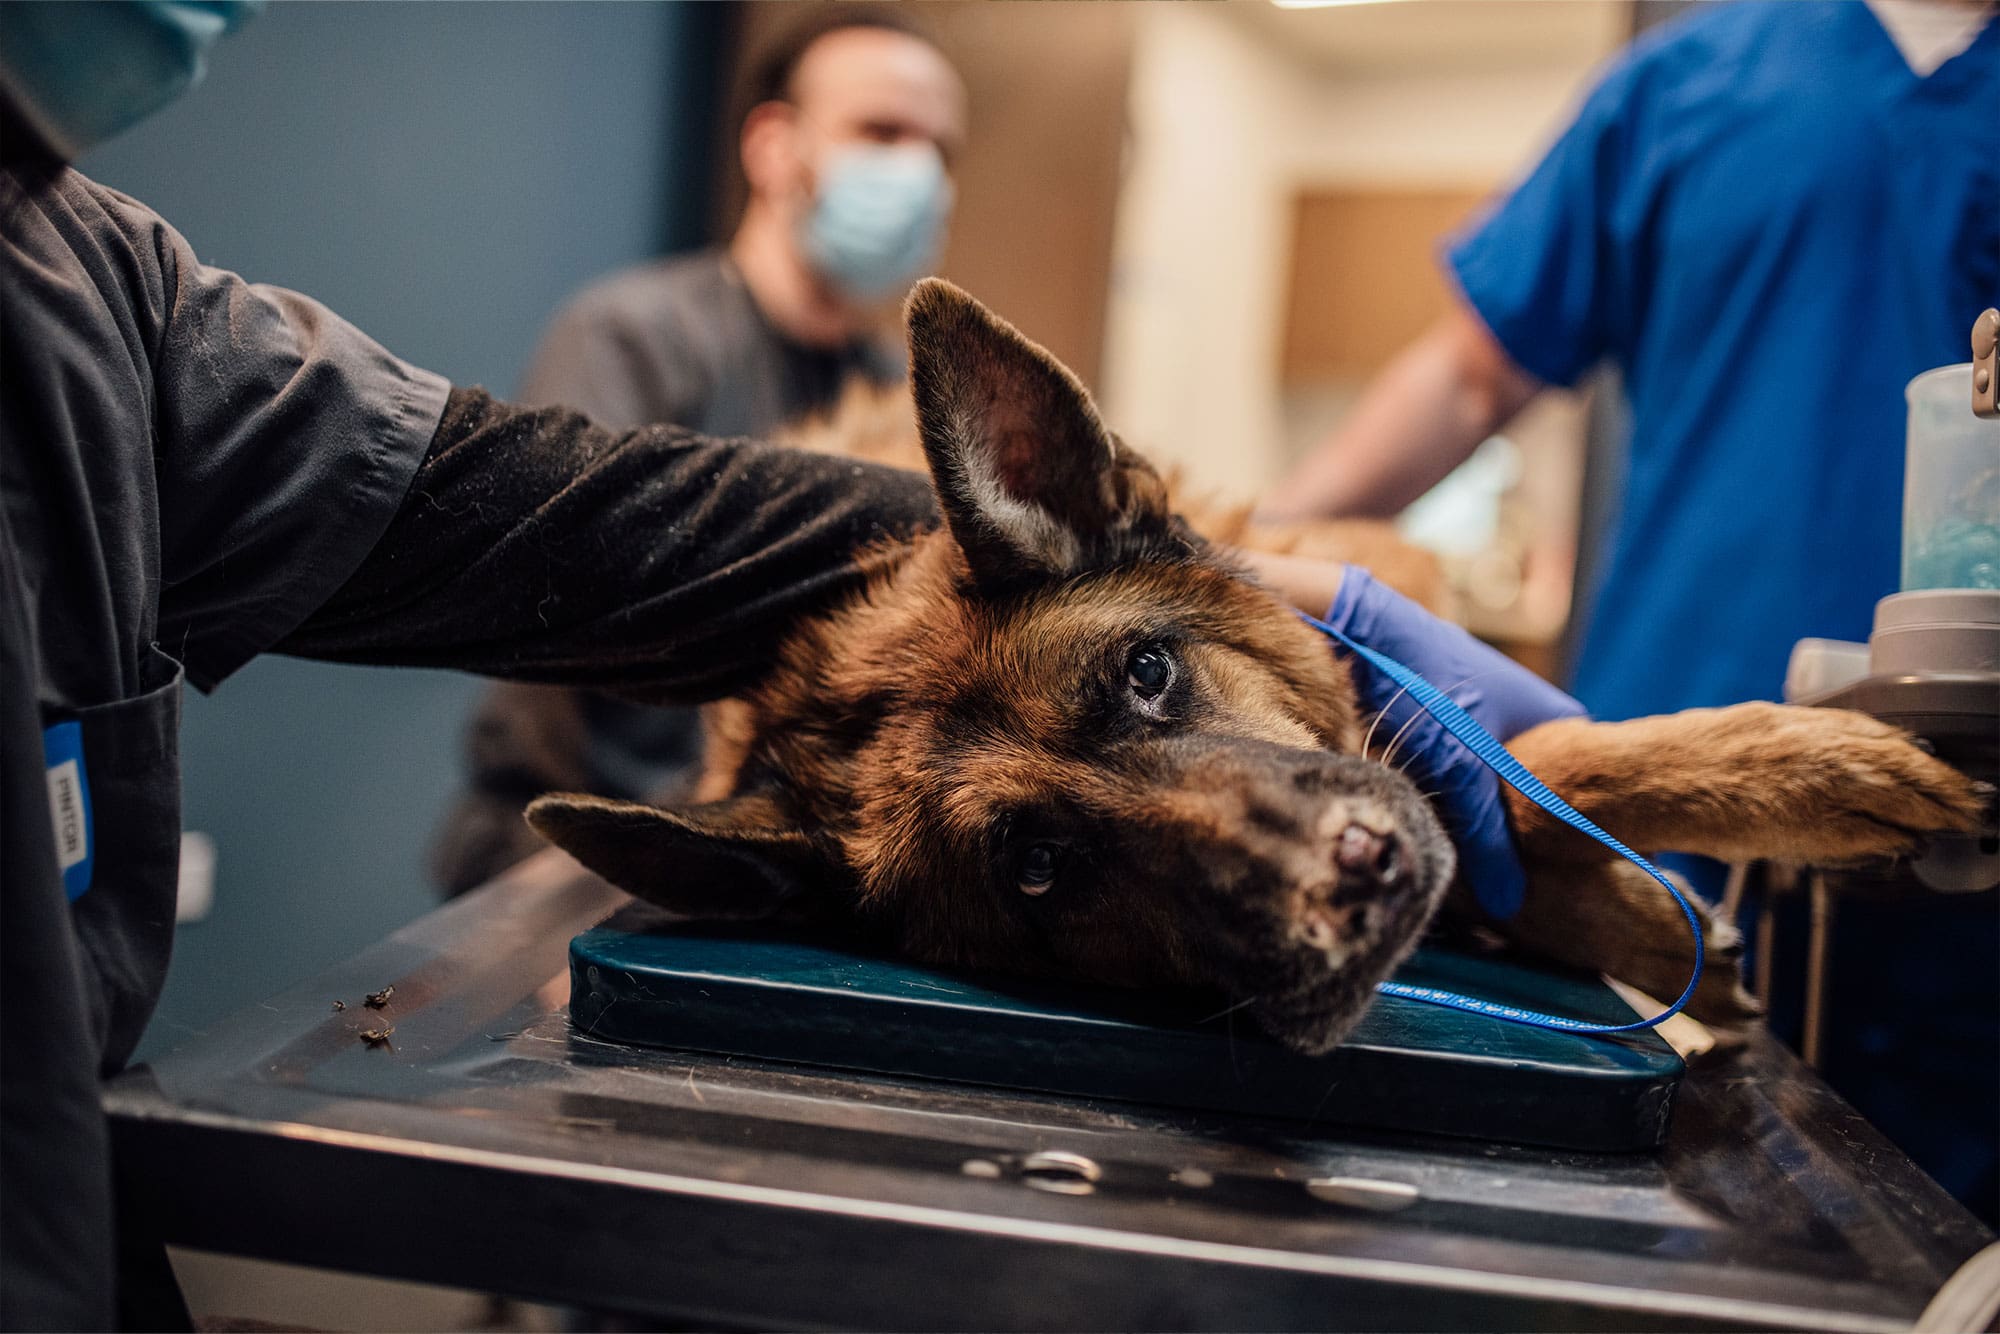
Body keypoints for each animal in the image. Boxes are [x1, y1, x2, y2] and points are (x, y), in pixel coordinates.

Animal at [524, 282, 1992, 1056]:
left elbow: (1540, 765)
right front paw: (1639, 910)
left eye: (1148, 672)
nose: (1360, 878)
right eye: (1036, 867)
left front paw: (1805, 772)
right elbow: (1517, 811)